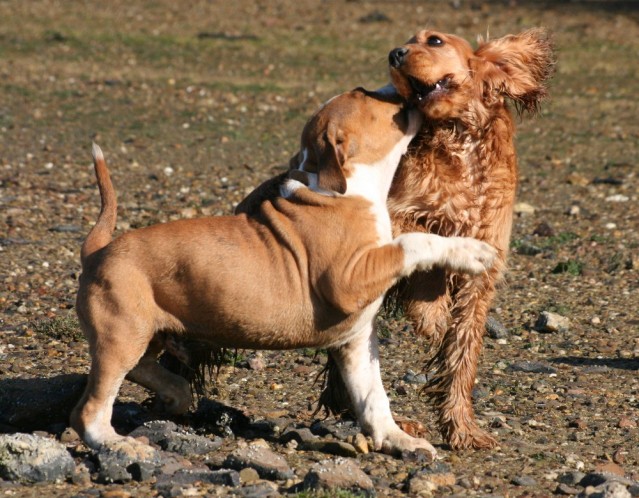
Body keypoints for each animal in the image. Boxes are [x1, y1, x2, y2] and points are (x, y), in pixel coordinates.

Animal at [72, 88, 498, 456]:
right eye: (364, 93)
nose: (399, 85)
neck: (344, 186)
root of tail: (97, 252)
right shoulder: (347, 280)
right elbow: (412, 241)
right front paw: (472, 252)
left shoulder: (356, 340)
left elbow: (373, 397)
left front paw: (397, 440)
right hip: (121, 335)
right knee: (89, 410)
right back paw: (116, 443)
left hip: (148, 332)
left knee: (142, 368)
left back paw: (174, 391)